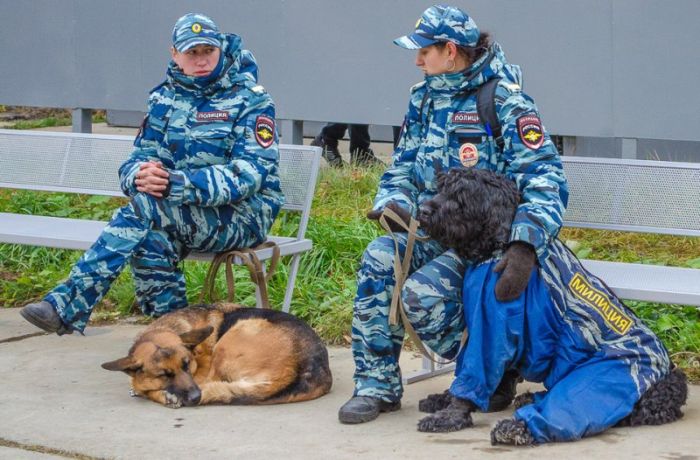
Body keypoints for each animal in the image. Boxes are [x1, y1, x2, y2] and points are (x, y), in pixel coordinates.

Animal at [412, 168, 688, 446]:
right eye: (441, 188)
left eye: (460, 196)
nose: (422, 210)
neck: (498, 247)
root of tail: (668, 377)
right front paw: (444, 399)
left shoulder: (490, 326)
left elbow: (476, 371)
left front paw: (450, 415)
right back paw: (529, 399)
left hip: (607, 375)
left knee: (573, 405)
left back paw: (519, 427)